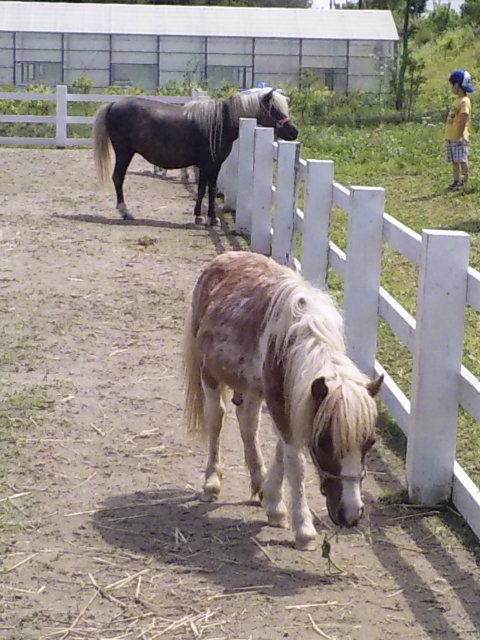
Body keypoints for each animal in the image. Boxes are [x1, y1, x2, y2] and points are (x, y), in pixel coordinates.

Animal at [93, 90, 298, 225]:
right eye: (274, 109)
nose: (294, 132)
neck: (220, 123)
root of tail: (113, 105)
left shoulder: (206, 166)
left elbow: (202, 189)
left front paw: (199, 215)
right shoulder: (212, 165)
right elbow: (210, 189)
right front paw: (210, 218)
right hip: (124, 153)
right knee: (118, 178)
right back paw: (125, 212)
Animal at [183, 251, 382, 551]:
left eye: (370, 442)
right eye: (323, 442)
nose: (350, 514)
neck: (297, 339)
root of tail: (222, 259)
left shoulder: (294, 401)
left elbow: (281, 452)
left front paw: (273, 502)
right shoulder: (282, 403)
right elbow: (295, 463)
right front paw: (304, 529)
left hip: (252, 388)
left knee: (248, 424)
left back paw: (258, 482)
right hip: (209, 375)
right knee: (216, 419)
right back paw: (211, 483)